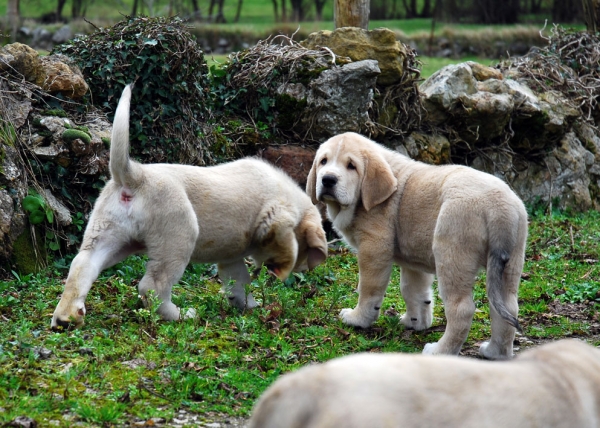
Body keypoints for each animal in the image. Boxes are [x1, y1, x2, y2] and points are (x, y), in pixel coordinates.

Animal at [50, 84, 328, 332]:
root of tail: (136, 176)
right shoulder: (276, 217)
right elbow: (284, 244)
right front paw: (281, 268)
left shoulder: (232, 257)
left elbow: (239, 281)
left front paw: (247, 304)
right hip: (179, 235)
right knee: (152, 286)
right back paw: (180, 315)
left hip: (108, 235)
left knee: (82, 266)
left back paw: (65, 317)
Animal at [308, 132, 528, 360]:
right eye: (323, 161)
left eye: (351, 166)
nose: (327, 179)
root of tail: (499, 207)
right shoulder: (413, 262)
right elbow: (413, 291)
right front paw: (415, 322)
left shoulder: (374, 248)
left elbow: (368, 289)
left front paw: (357, 318)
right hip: (511, 261)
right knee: (507, 307)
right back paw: (495, 353)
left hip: (452, 254)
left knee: (461, 309)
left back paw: (439, 351)